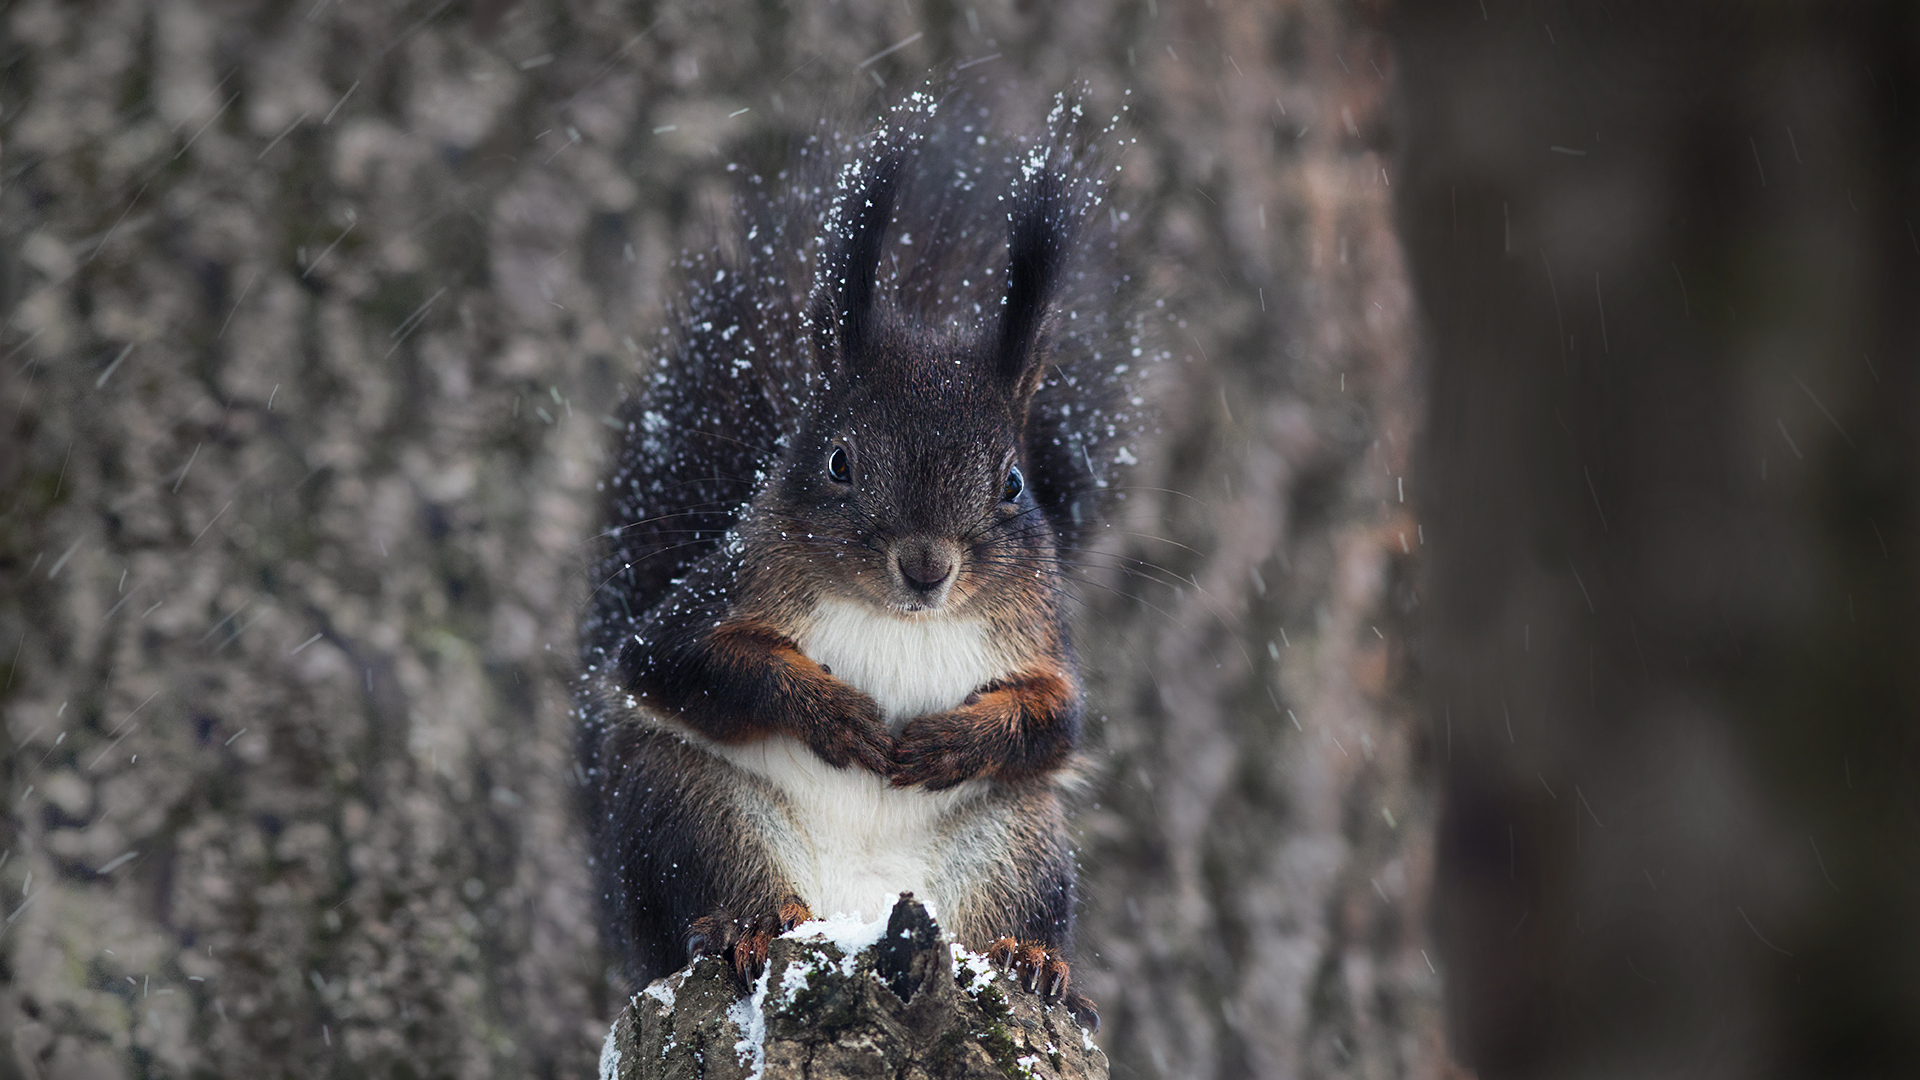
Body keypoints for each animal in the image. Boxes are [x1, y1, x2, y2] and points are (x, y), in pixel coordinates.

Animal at [568, 88, 1136, 1030]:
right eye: (838, 461)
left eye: (1013, 481)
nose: (928, 568)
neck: (897, 617)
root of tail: (860, 914)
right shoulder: (718, 596)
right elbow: (675, 662)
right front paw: (832, 712)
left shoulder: (1040, 638)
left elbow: (1058, 721)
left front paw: (952, 740)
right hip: (689, 809)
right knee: (719, 887)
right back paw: (750, 924)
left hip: (1020, 842)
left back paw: (1031, 960)